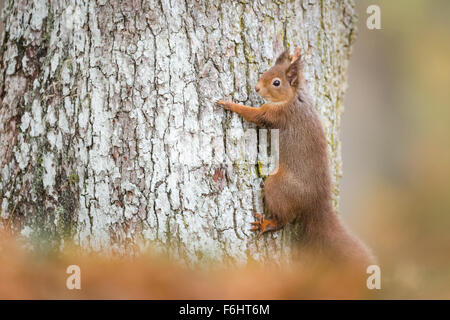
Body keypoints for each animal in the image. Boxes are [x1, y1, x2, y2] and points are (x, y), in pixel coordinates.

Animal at [218, 47, 372, 268]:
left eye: (276, 82)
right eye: (266, 71)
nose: (256, 88)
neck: (294, 98)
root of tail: (317, 203)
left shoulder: (276, 115)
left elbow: (253, 114)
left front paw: (229, 104)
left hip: (277, 186)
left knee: (283, 221)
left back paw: (266, 224)